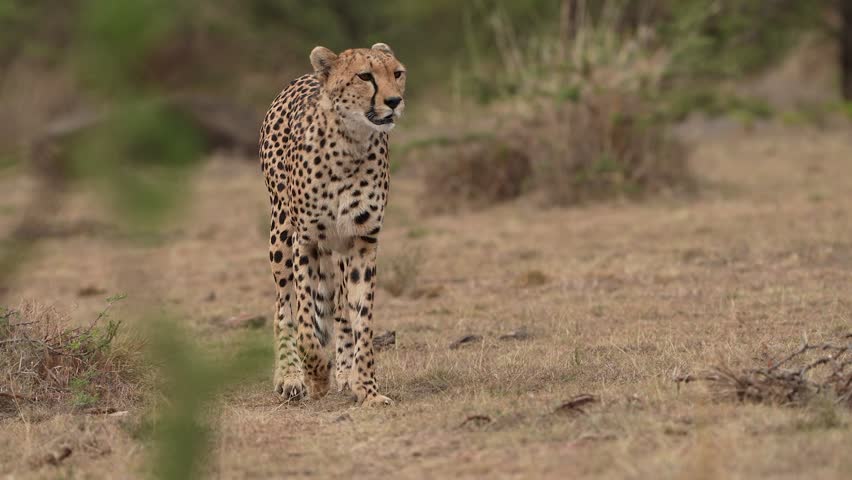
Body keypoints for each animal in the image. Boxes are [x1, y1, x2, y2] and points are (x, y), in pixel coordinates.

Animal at [258, 43, 406, 407]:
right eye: (365, 76)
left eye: (397, 73)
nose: (394, 101)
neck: (351, 143)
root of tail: (306, 75)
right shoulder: (306, 240)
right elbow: (305, 321)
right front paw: (315, 377)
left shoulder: (362, 241)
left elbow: (361, 317)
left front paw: (366, 388)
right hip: (281, 232)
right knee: (283, 306)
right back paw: (290, 376)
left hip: (338, 248)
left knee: (338, 306)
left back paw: (343, 372)